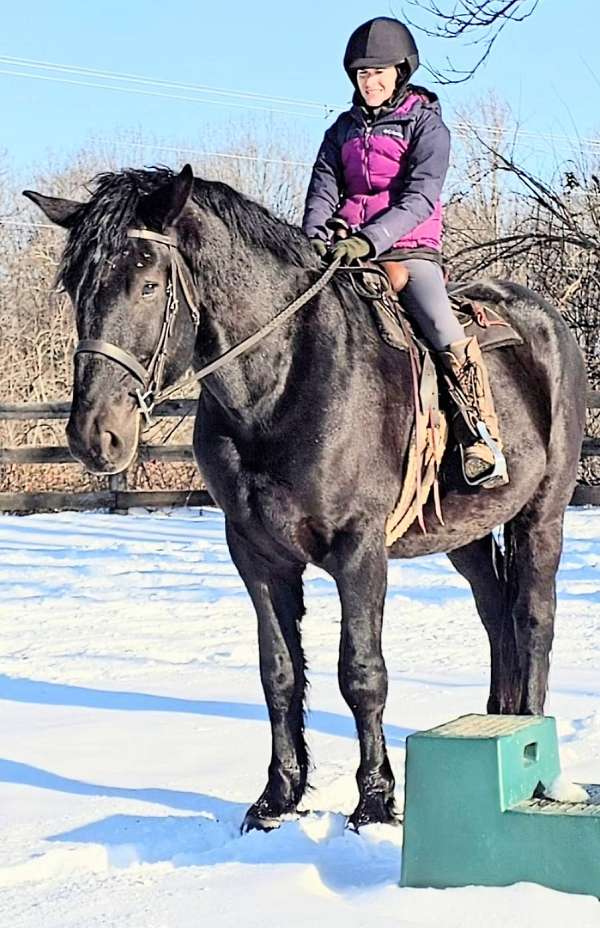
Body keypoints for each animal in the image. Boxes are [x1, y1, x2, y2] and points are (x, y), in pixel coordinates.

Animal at [24, 167, 584, 832]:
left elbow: (361, 673)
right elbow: (280, 673)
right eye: (76, 288)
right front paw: (278, 797)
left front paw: (374, 801)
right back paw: (501, 721)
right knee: (496, 614)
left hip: (541, 515)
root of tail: (544, 321)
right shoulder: (256, 554)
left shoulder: (359, 549)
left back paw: (534, 734)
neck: (281, 383)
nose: (94, 435)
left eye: (148, 282)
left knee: (534, 619)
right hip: (462, 533)